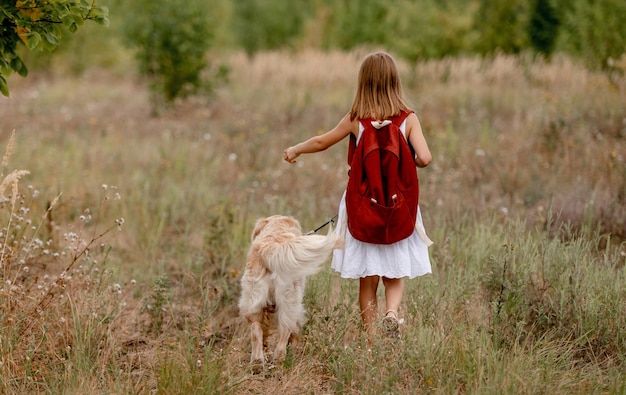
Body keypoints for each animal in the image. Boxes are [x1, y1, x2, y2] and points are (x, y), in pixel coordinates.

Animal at [238, 215, 342, 372]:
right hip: (290, 302)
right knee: (284, 332)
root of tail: (270, 247)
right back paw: (280, 361)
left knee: (256, 330)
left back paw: (257, 362)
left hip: (254, 300)